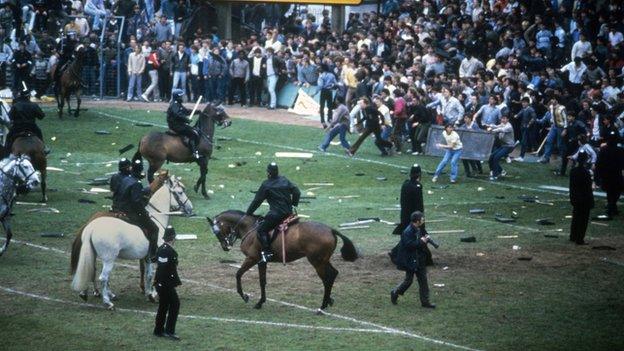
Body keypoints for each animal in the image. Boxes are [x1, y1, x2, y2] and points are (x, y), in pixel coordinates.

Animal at [69, 175, 194, 308]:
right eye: (180, 192)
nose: (190, 209)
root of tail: (91, 226)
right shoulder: (154, 257)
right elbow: (151, 275)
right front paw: (152, 294)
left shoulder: (146, 257)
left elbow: (147, 273)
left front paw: (149, 293)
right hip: (109, 259)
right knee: (103, 277)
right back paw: (108, 302)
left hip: (94, 255)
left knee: (90, 270)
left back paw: (88, 293)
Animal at [207, 210, 358, 312]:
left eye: (216, 232)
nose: (225, 246)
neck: (250, 228)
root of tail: (331, 230)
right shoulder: (262, 261)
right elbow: (262, 281)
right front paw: (260, 302)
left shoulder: (252, 258)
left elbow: (238, 274)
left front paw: (245, 296)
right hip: (323, 260)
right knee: (333, 274)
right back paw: (328, 301)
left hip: (317, 262)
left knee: (327, 278)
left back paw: (322, 306)